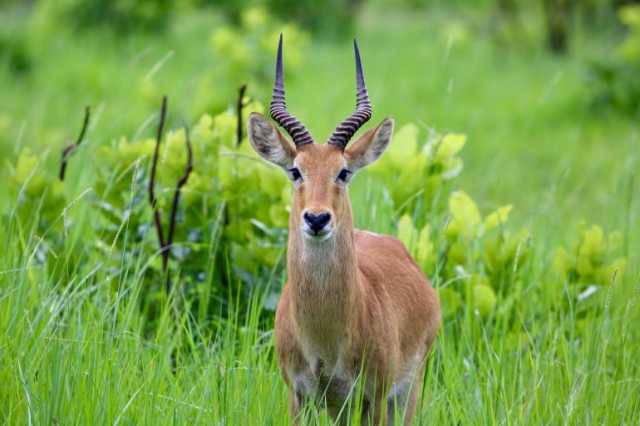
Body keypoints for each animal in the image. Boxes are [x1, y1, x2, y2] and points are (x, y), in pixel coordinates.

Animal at [246, 35, 440, 424]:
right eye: (295, 170)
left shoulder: (373, 397)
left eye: (343, 171)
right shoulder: (298, 396)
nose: (317, 218)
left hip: (407, 393)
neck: (326, 342)